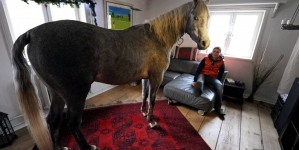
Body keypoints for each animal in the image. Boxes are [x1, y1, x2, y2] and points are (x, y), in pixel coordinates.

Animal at [11, 0, 211, 149]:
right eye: (195, 17)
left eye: (208, 17)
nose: (205, 43)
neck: (157, 37)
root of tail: (32, 33)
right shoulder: (156, 77)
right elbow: (153, 99)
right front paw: (152, 122)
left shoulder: (146, 78)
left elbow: (144, 96)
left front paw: (143, 113)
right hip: (75, 93)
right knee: (72, 122)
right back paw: (88, 147)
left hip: (56, 93)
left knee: (53, 121)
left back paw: (61, 147)